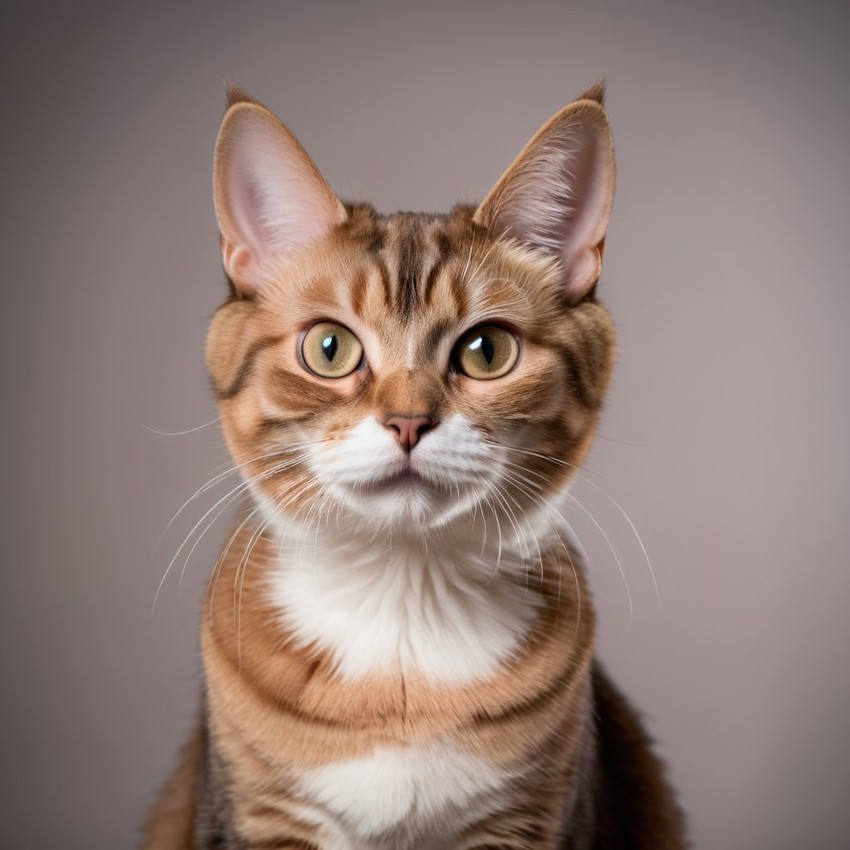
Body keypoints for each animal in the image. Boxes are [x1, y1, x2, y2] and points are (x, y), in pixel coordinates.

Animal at [142, 81, 684, 848]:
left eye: (487, 351)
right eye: (330, 348)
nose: (407, 422)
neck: (402, 611)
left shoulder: (535, 818)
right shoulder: (254, 817)